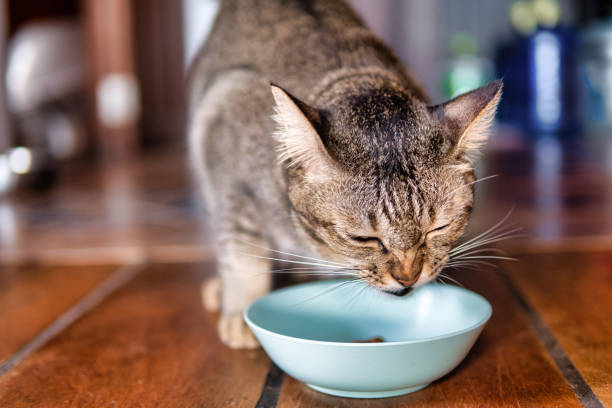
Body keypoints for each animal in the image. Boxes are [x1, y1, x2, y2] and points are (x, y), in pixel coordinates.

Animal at [188, 0, 502, 350]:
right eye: (364, 238)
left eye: (439, 228)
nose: (408, 277)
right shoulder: (227, 167)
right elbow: (242, 252)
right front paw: (241, 311)